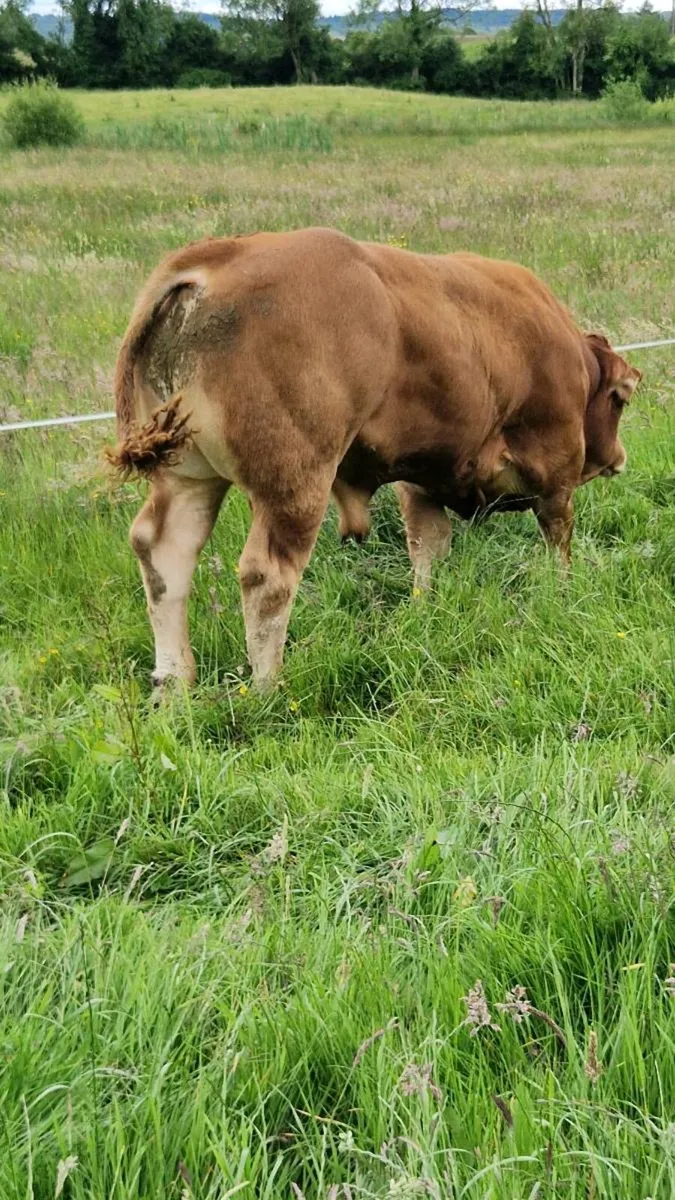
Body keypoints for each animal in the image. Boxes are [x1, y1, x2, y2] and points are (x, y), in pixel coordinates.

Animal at [108, 227, 641, 691]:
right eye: (620, 398)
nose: (618, 458)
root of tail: (215, 260)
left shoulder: (421, 486)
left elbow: (427, 552)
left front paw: (426, 610)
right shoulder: (556, 477)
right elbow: (558, 546)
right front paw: (565, 593)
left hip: (188, 477)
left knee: (163, 554)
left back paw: (174, 684)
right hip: (295, 484)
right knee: (266, 577)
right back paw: (267, 687)